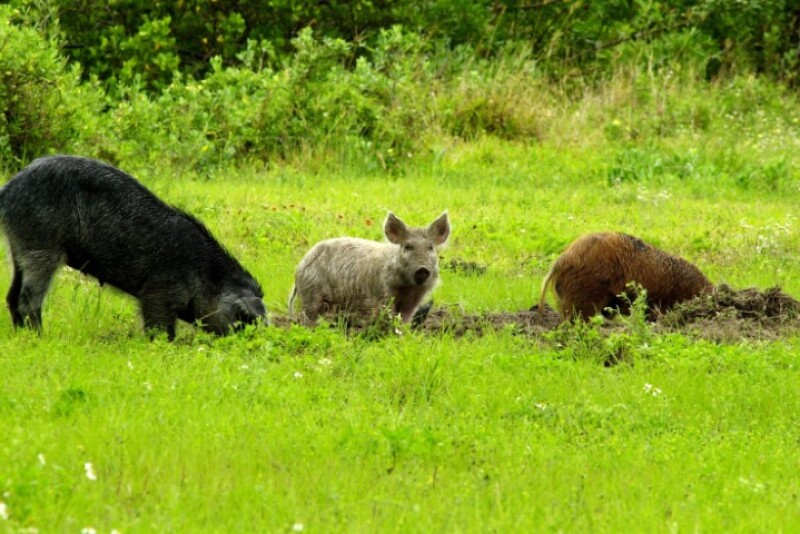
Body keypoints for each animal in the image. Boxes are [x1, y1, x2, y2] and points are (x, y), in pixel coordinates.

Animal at [0, 155, 266, 339]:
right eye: (243, 320)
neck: (207, 276)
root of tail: (7, 190)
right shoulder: (158, 291)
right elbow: (159, 325)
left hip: (17, 247)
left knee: (12, 294)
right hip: (41, 246)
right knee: (28, 298)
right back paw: (40, 337)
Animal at [289, 211, 450, 325]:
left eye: (430, 248)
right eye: (407, 247)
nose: (422, 269)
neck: (407, 288)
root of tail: (299, 266)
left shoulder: (414, 299)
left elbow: (404, 318)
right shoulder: (381, 294)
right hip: (311, 293)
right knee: (309, 317)